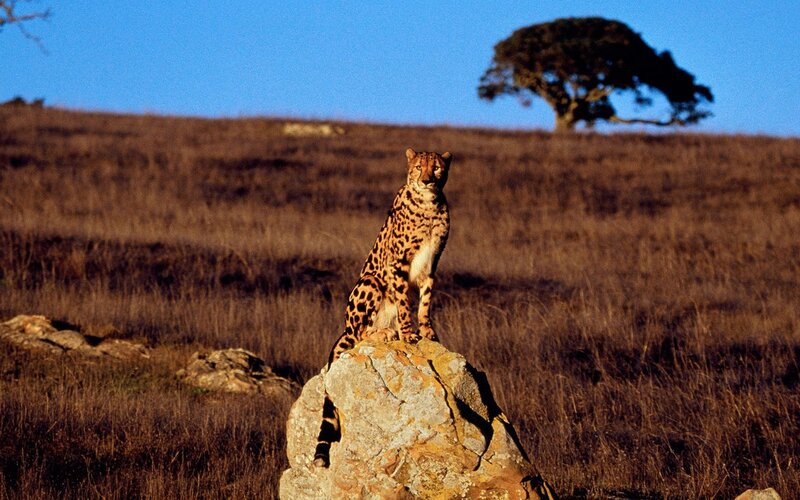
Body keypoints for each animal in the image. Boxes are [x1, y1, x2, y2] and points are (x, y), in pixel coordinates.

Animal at [313, 147, 453, 467]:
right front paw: (408, 333)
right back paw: (385, 333)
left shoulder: (432, 265)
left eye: (437, 167)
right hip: (370, 282)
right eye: (418, 167)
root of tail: (344, 328)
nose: (427, 180)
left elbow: (424, 303)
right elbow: (403, 302)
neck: (430, 206)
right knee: (359, 334)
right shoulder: (397, 264)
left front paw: (428, 331)